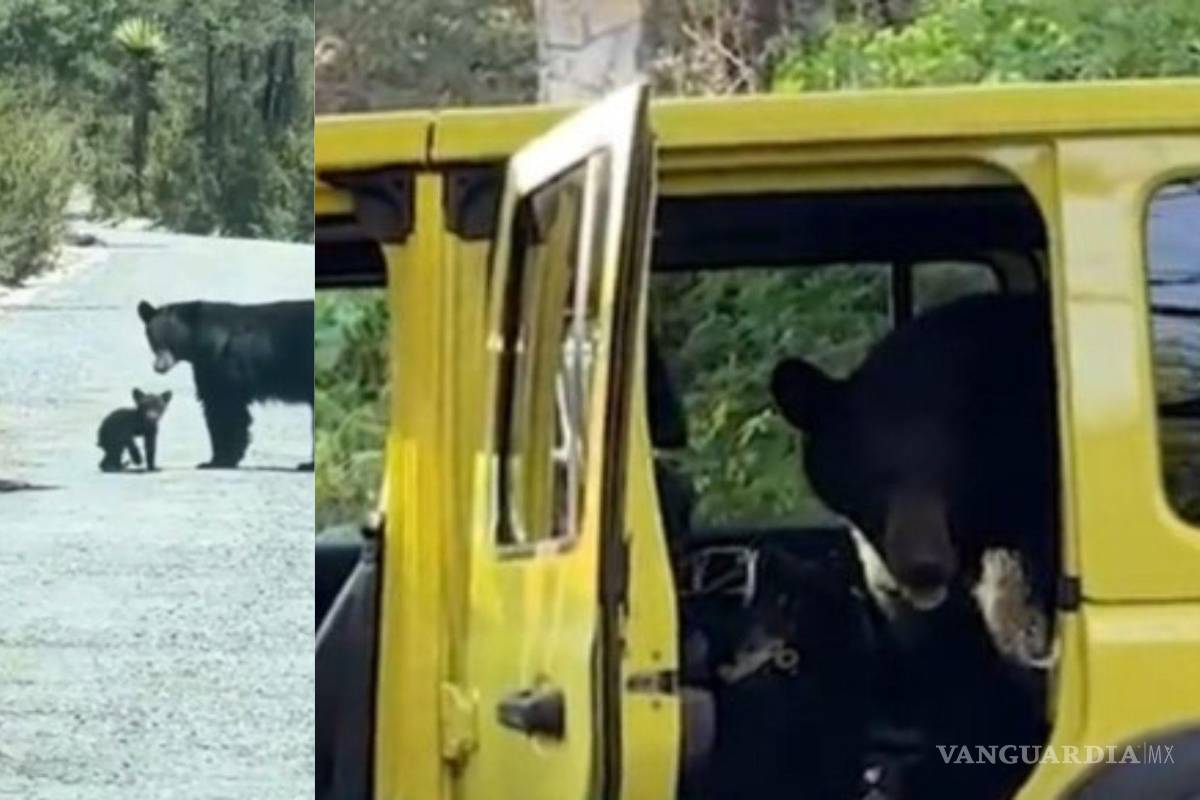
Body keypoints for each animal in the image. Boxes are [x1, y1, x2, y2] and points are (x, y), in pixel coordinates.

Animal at [137, 299, 315, 470]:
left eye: (173, 342)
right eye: (153, 340)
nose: (159, 367)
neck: (204, 342)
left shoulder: (225, 365)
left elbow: (224, 409)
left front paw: (218, 460)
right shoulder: (205, 366)